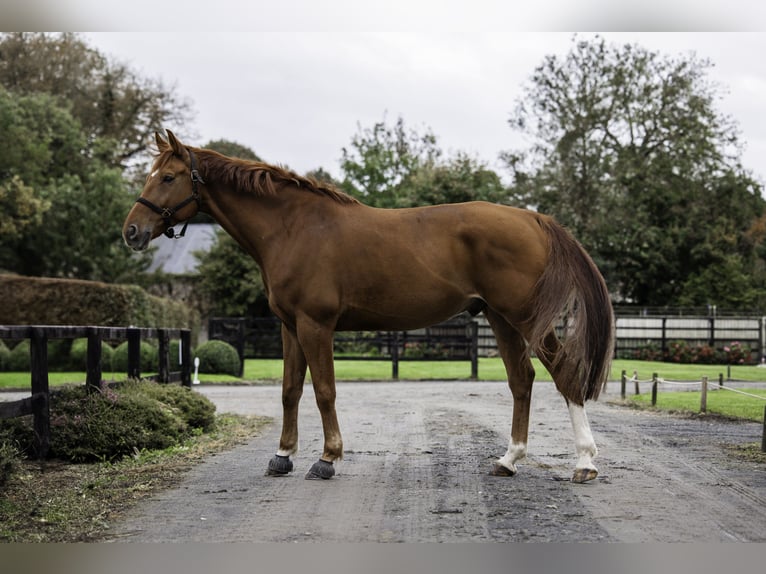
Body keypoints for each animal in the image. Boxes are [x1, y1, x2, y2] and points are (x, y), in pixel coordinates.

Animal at [123, 132, 616, 486]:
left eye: (168, 177)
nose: (131, 231)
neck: (292, 227)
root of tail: (534, 219)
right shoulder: (289, 327)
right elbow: (289, 391)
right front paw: (282, 456)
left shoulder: (315, 325)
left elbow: (324, 391)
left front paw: (327, 459)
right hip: (499, 318)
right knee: (522, 380)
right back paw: (509, 460)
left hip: (524, 317)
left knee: (561, 373)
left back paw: (585, 463)